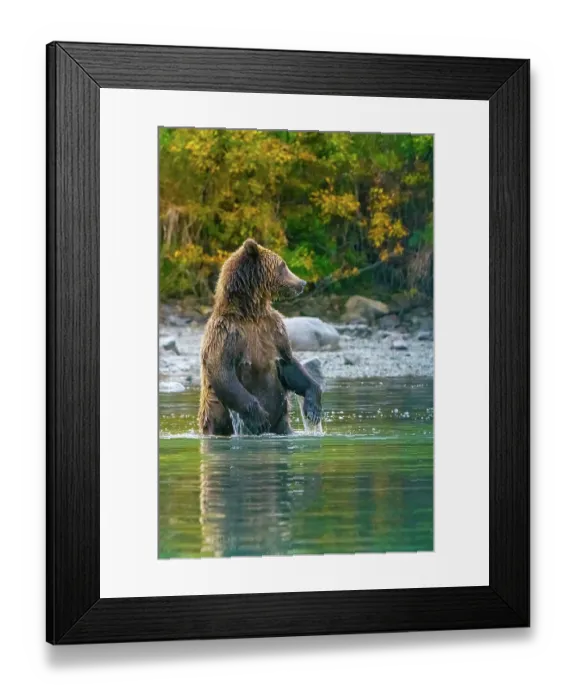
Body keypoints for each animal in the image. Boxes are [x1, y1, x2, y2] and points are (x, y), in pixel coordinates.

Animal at [198, 238, 322, 436]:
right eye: (283, 265)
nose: (302, 282)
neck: (250, 313)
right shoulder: (226, 333)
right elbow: (222, 371)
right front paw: (259, 418)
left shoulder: (273, 329)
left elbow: (289, 363)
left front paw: (313, 407)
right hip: (216, 414)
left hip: (282, 422)